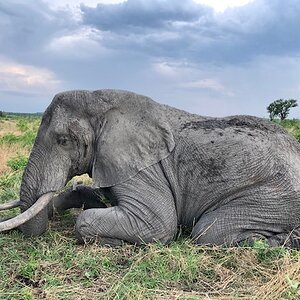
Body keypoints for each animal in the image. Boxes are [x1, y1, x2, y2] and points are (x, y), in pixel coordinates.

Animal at [0, 89, 300, 248]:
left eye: (63, 141)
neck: (103, 102)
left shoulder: (146, 168)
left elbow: (157, 222)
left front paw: (112, 242)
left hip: (271, 197)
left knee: (209, 231)